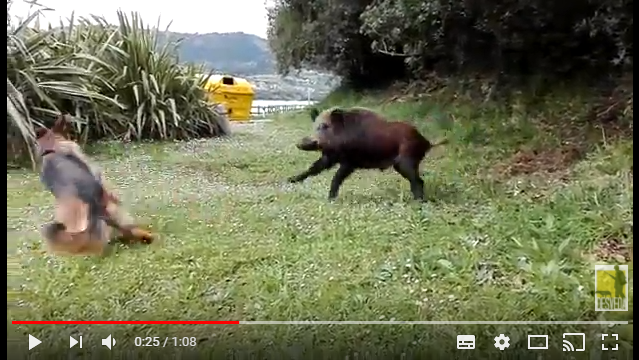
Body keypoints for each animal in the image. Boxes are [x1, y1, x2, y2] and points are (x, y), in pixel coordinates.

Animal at [288, 107, 448, 202]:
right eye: (314, 126)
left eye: (325, 126)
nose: (299, 143)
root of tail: (426, 141)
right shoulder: (330, 157)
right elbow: (313, 168)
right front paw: (290, 180)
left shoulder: (350, 162)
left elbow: (336, 178)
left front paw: (331, 199)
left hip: (405, 161)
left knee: (419, 181)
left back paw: (418, 202)